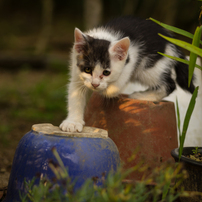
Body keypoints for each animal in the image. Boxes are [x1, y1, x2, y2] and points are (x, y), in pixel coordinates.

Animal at [59, 16, 195, 133]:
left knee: (170, 84)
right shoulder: (76, 71)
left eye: (106, 72)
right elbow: (75, 93)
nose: (95, 84)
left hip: (149, 67)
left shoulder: (132, 57)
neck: (106, 36)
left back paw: (142, 96)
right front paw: (72, 122)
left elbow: (116, 84)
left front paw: (107, 89)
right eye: (87, 69)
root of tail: (171, 42)